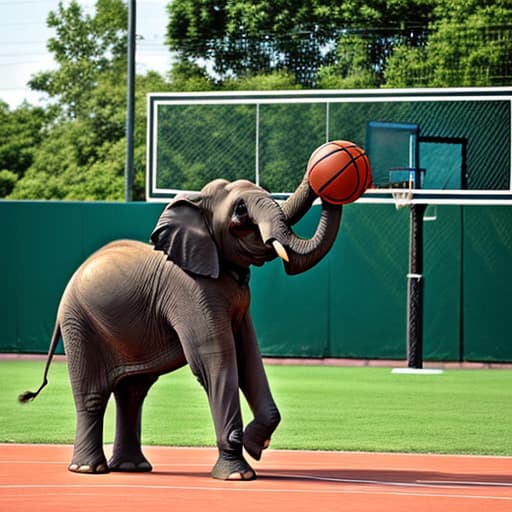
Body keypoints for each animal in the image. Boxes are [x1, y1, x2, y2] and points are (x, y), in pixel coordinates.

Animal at [20, 172, 342, 480]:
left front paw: (255, 445)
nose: (325, 179)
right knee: (93, 395)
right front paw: (238, 474)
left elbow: (249, 356)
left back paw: (132, 467)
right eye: (240, 212)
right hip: (80, 324)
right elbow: (216, 359)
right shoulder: (190, 290)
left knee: (132, 392)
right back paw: (88, 470)